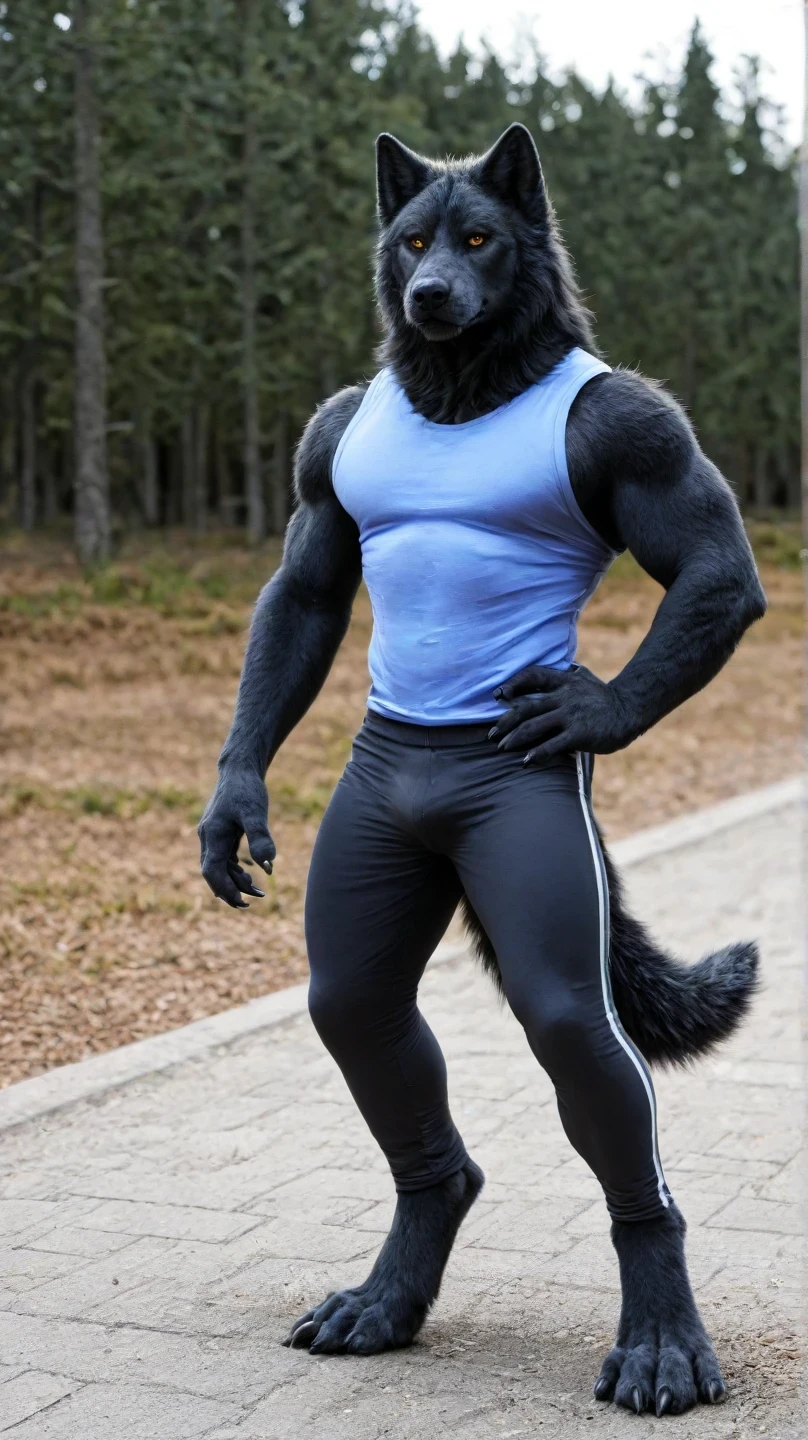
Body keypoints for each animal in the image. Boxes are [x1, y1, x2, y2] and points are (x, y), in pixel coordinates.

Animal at [199, 123, 765, 1416]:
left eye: (477, 239)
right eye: (413, 241)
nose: (429, 297)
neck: (461, 394)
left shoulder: (643, 435)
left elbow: (718, 568)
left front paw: (583, 700)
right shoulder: (320, 465)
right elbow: (306, 584)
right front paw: (231, 806)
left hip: (542, 898)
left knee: (593, 1074)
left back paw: (660, 1339)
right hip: (369, 888)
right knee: (377, 1042)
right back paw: (387, 1296)